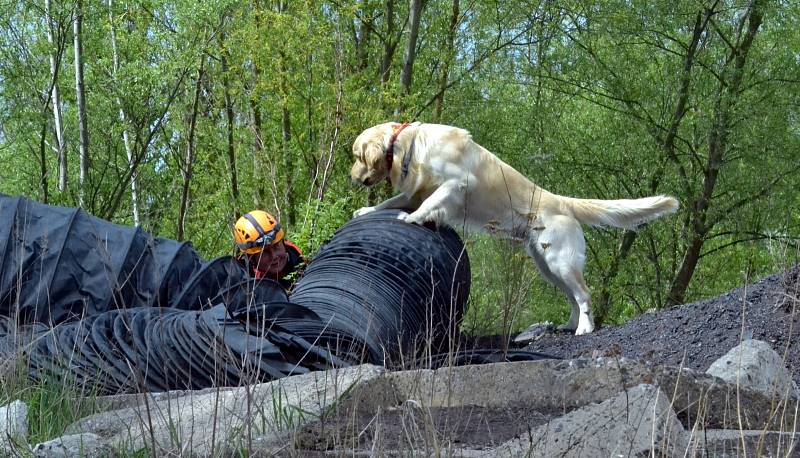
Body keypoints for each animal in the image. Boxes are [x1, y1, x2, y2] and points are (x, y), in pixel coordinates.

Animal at [348, 121, 676, 336]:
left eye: (357, 156)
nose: (352, 177)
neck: (410, 144)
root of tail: (563, 201)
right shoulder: (415, 190)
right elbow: (393, 201)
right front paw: (368, 211)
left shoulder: (457, 183)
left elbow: (429, 202)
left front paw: (413, 218)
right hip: (548, 266)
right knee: (573, 296)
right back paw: (570, 325)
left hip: (560, 261)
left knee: (584, 293)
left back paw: (584, 328)